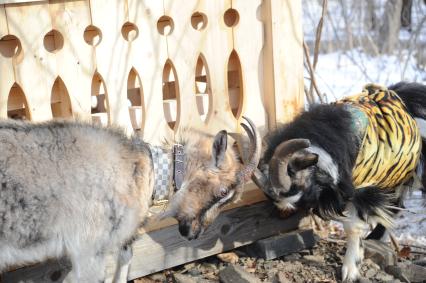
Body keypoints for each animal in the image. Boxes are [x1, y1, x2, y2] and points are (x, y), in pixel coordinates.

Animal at [253, 82, 426, 282]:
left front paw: (350, 270)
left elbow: (353, 227)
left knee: (394, 206)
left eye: (301, 186)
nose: (282, 214)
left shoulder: (361, 187)